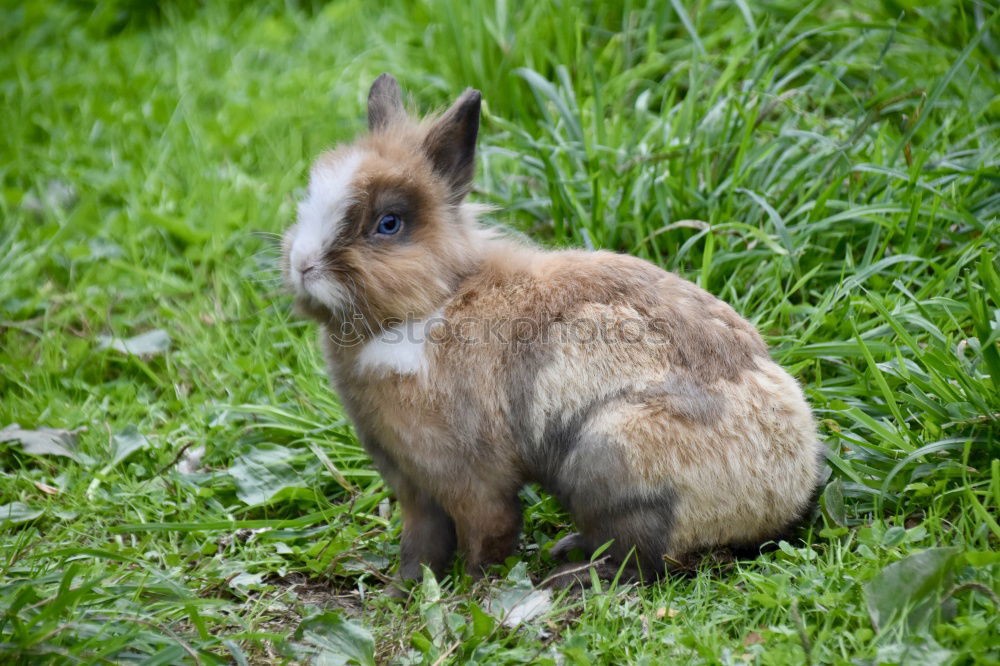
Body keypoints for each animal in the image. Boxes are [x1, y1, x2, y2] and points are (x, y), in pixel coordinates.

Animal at [280, 72, 820, 588]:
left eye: (389, 224)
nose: (303, 265)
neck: (436, 300)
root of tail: (785, 491)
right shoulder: (412, 483)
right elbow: (421, 547)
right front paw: (403, 592)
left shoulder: (469, 476)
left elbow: (487, 532)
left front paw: (472, 592)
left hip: (613, 462)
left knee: (645, 560)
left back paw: (570, 576)